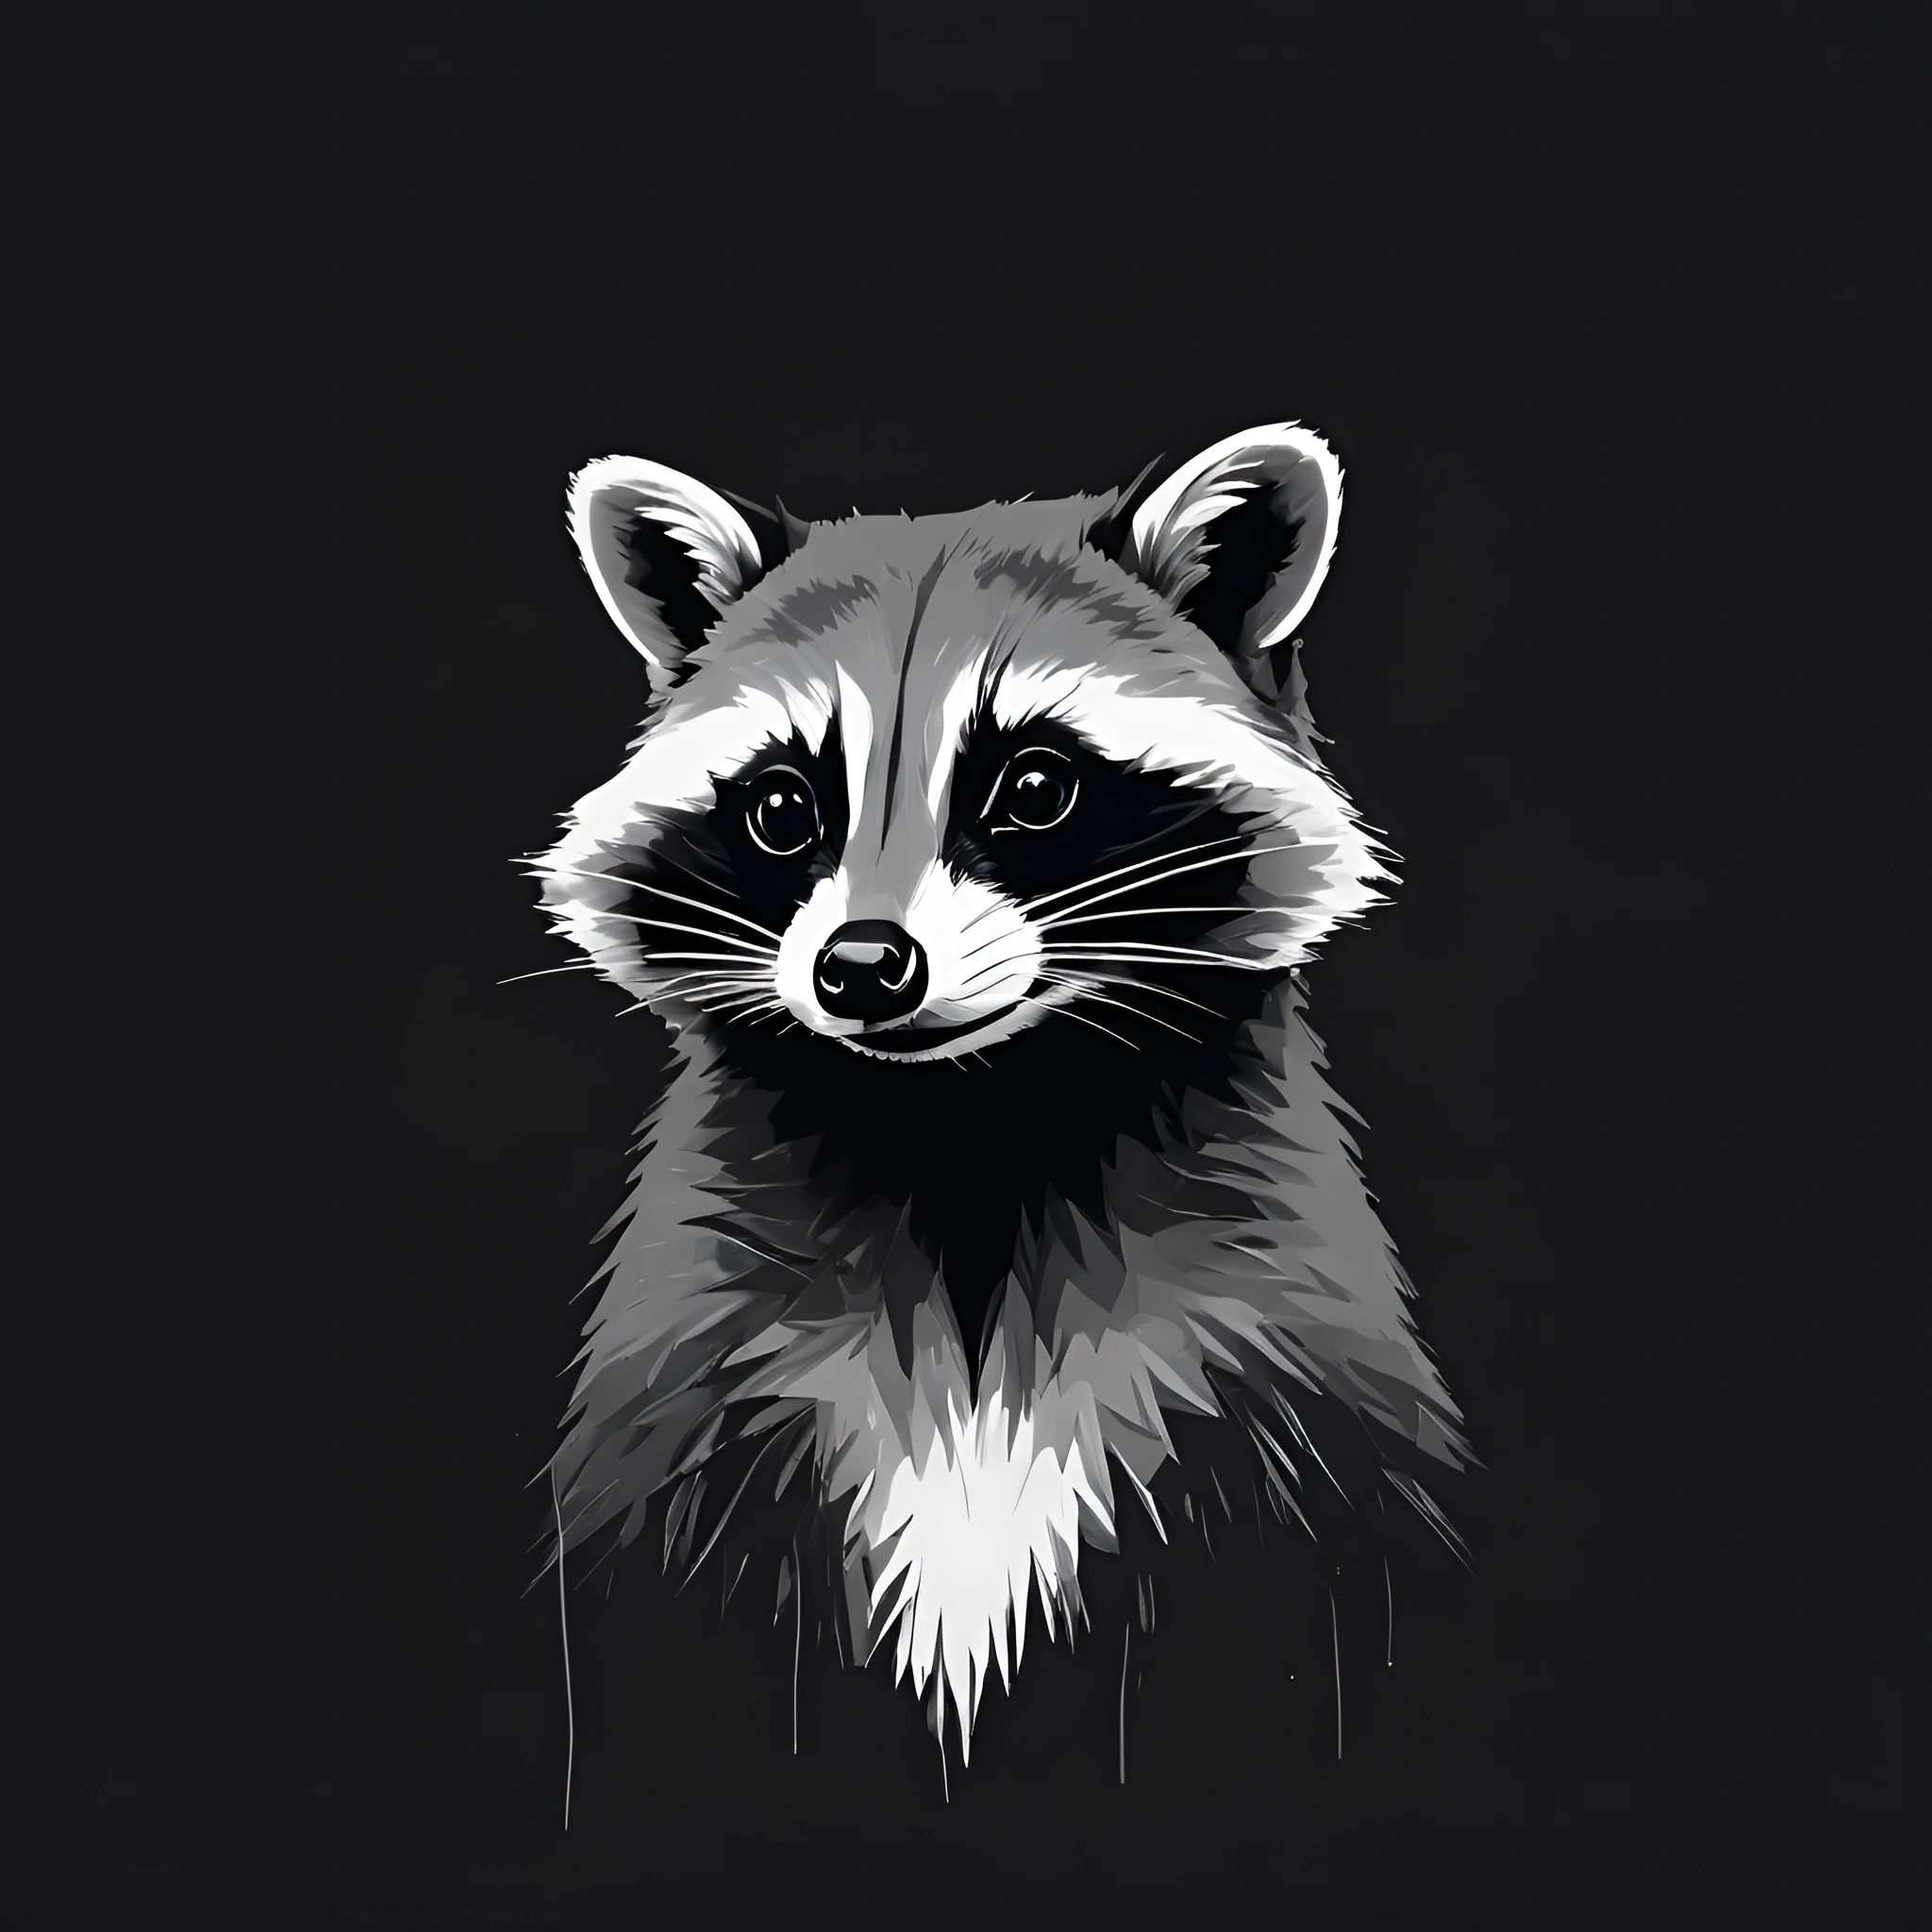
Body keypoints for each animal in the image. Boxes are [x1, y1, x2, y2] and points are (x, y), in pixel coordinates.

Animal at [532, 424, 1471, 1766]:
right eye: (782, 806)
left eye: (1032, 787)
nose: (862, 966)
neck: (964, 1128)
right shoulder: (691, 1383)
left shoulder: (1273, 1368)